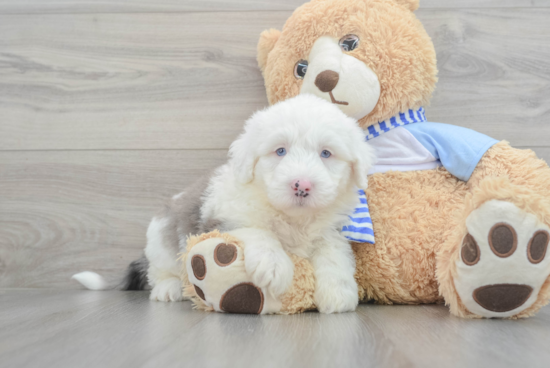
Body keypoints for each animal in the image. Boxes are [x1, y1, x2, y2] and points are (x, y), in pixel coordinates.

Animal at [72, 94, 376, 314]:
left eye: (326, 153)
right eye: (280, 150)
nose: (301, 185)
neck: (292, 218)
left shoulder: (331, 229)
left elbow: (334, 253)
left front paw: (338, 293)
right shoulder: (227, 217)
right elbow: (258, 231)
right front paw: (273, 265)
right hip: (160, 238)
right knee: (159, 271)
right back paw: (168, 289)